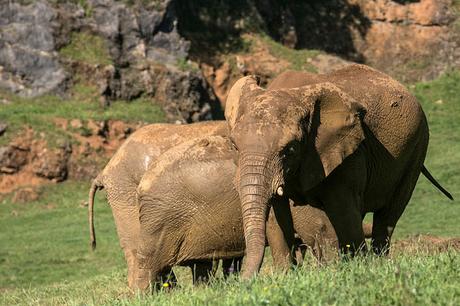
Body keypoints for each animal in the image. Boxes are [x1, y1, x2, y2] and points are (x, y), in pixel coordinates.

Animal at [224, 63, 452, 278]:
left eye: (290, 149)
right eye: (234, 145)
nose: (243, 281)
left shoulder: (348, 152)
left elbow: (340, 208)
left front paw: (354, 269)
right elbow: (274, 217)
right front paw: (285, 275)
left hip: (417, 147)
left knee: (387, 214)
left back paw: (377, 263)